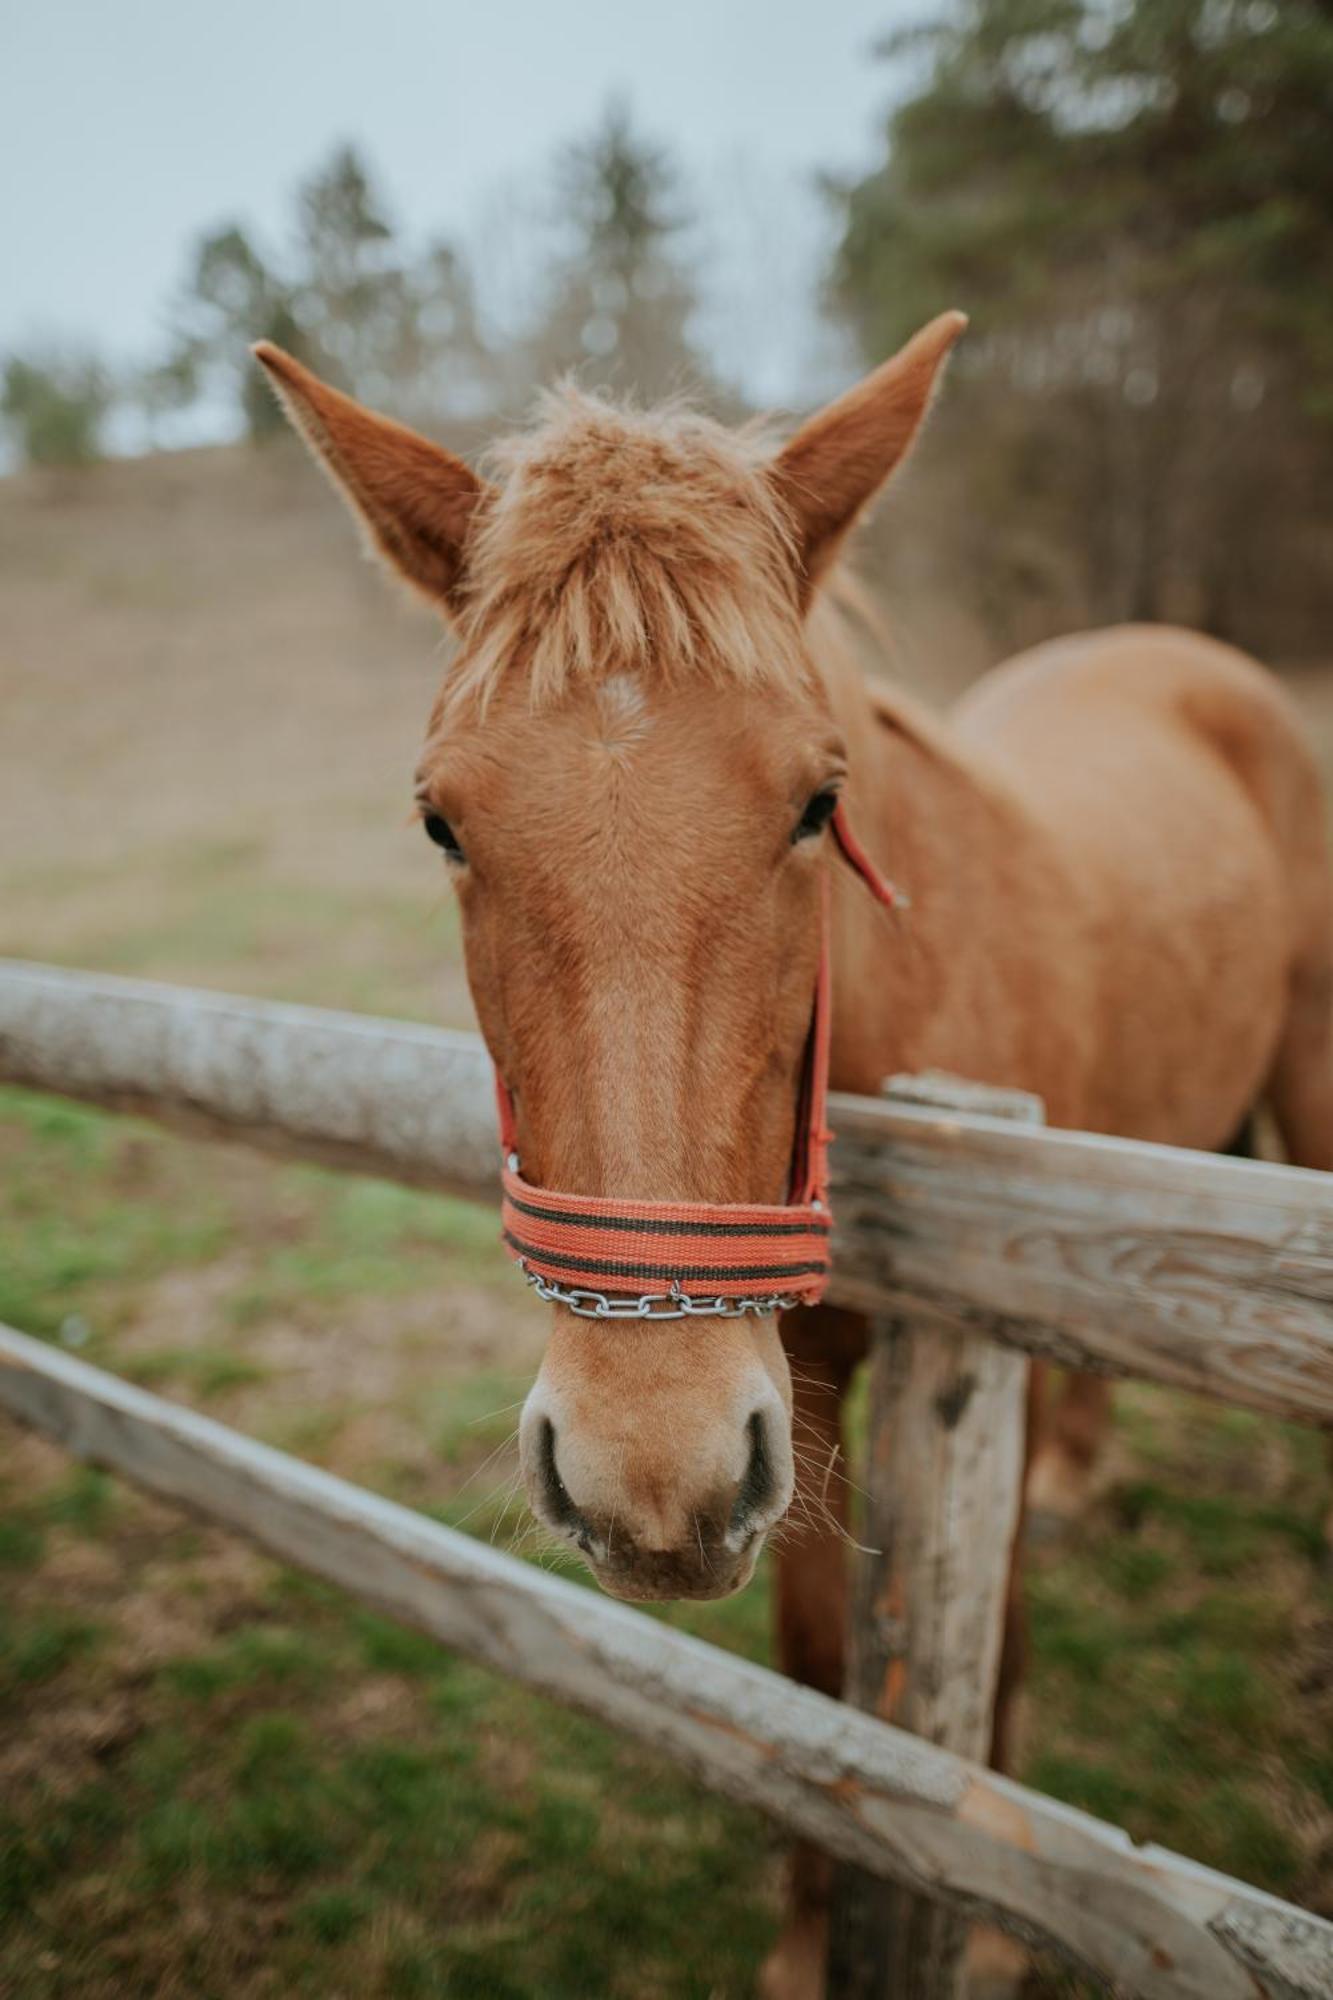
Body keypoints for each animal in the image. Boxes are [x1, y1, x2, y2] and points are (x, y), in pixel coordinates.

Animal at [252, 320, 1328, 1992]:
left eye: (819, 804)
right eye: (440, 825)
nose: (642, 1466)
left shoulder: (986, 1348)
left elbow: (986, 1662)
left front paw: (990, 1933)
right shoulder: (797, 1392)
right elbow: (821, 1678)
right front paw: (816, 1939)